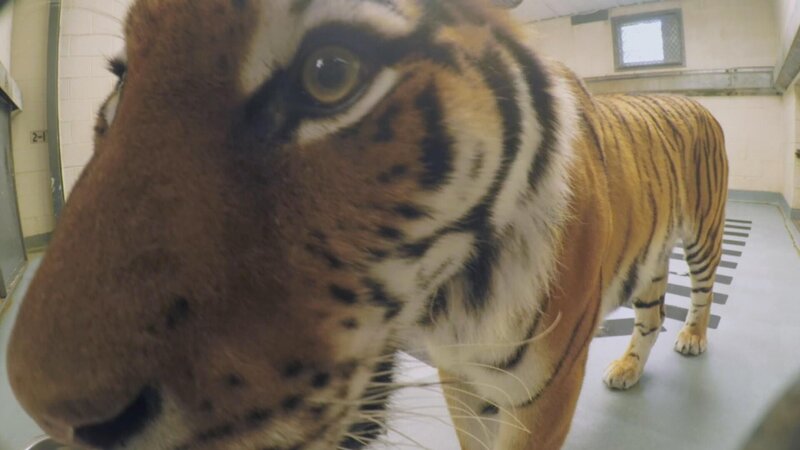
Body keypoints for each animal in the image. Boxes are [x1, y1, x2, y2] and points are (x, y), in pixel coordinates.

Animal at [7, 0, 728, 449]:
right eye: (120, 87)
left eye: (329, 74)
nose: (58, 419)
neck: (453, 301)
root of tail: (695, 101)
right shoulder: (461, 377)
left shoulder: (542, 395)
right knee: (648, 314)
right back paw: (628, 367)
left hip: (702, 235)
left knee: (695, 296)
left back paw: (693, 340)